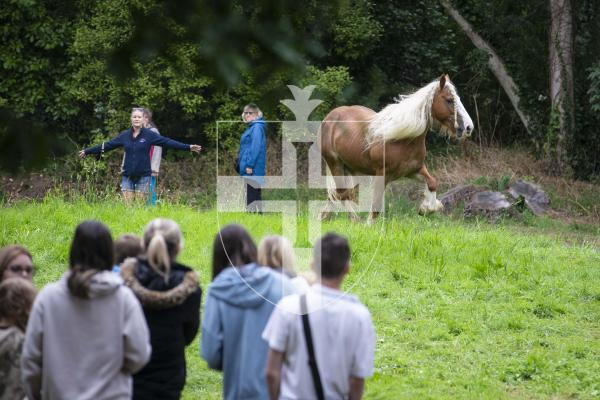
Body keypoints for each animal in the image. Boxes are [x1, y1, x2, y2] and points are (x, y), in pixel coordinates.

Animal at [318, 74, 474, 222]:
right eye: (449, 100)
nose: (468, 127)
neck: (403, 140)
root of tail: (330, 117)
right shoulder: (382, 174)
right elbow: (375, 206)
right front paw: (369, 225)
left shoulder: (414, 170)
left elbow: (432, 183)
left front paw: (426, 209)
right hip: (335, 164)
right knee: (341, 193)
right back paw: (354, 220)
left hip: (350, 168)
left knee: (336, 195)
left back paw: (325, 217)